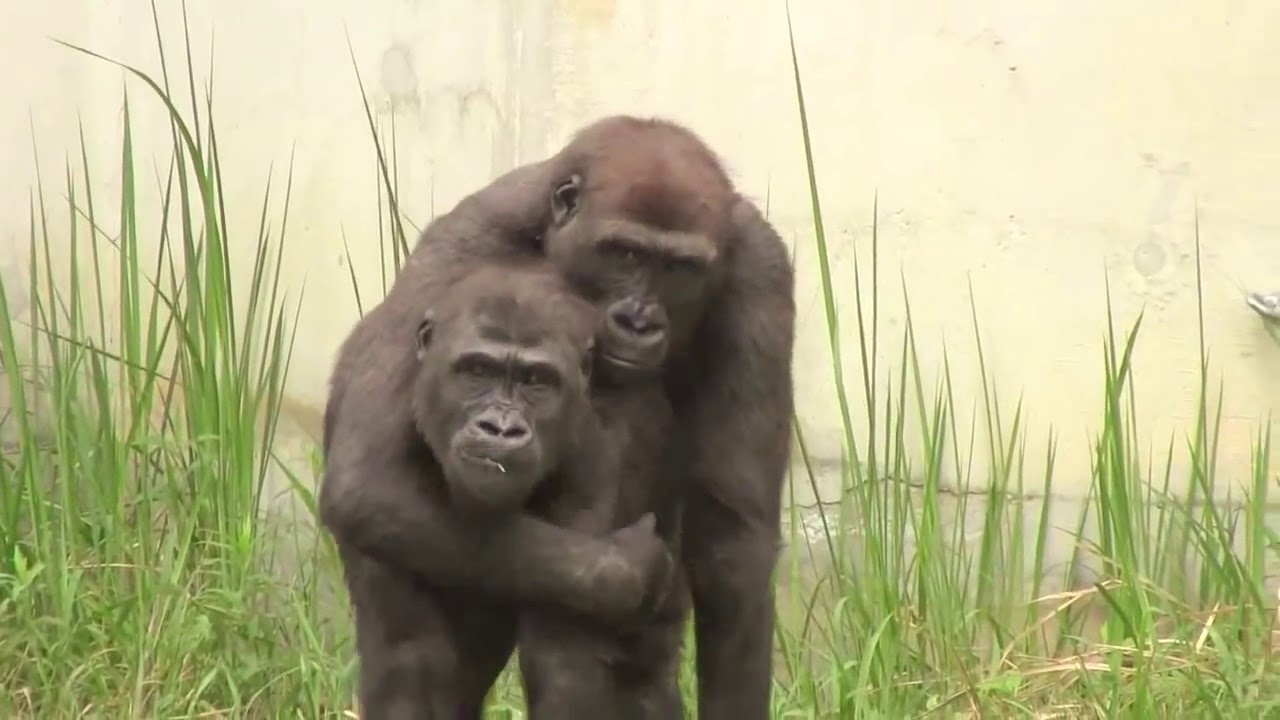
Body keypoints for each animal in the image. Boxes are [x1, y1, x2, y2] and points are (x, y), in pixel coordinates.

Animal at [321, 260, 680, 718]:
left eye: (536, 380)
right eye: (477, 371)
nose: (500, 428)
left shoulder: (593, 460)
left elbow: (567, 655)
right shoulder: (391, 387)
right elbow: (367, 496)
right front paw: (634, 567)